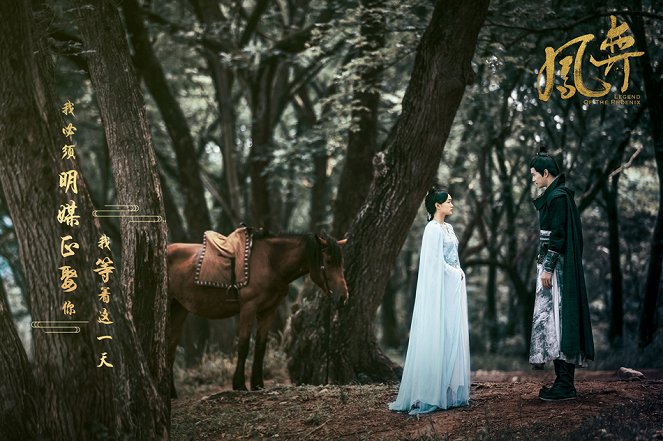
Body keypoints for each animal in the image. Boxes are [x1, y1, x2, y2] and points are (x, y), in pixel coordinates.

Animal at [167, 229, 348, 390]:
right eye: (328, 261)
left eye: (341, 262)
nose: (343, 297)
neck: (270, 262)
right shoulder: (249, 308)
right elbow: (244, 345)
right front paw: (239, 384)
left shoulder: (268, 312)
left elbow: (261, 347)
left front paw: (257, 384)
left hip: (179, 309)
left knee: (171, 347)